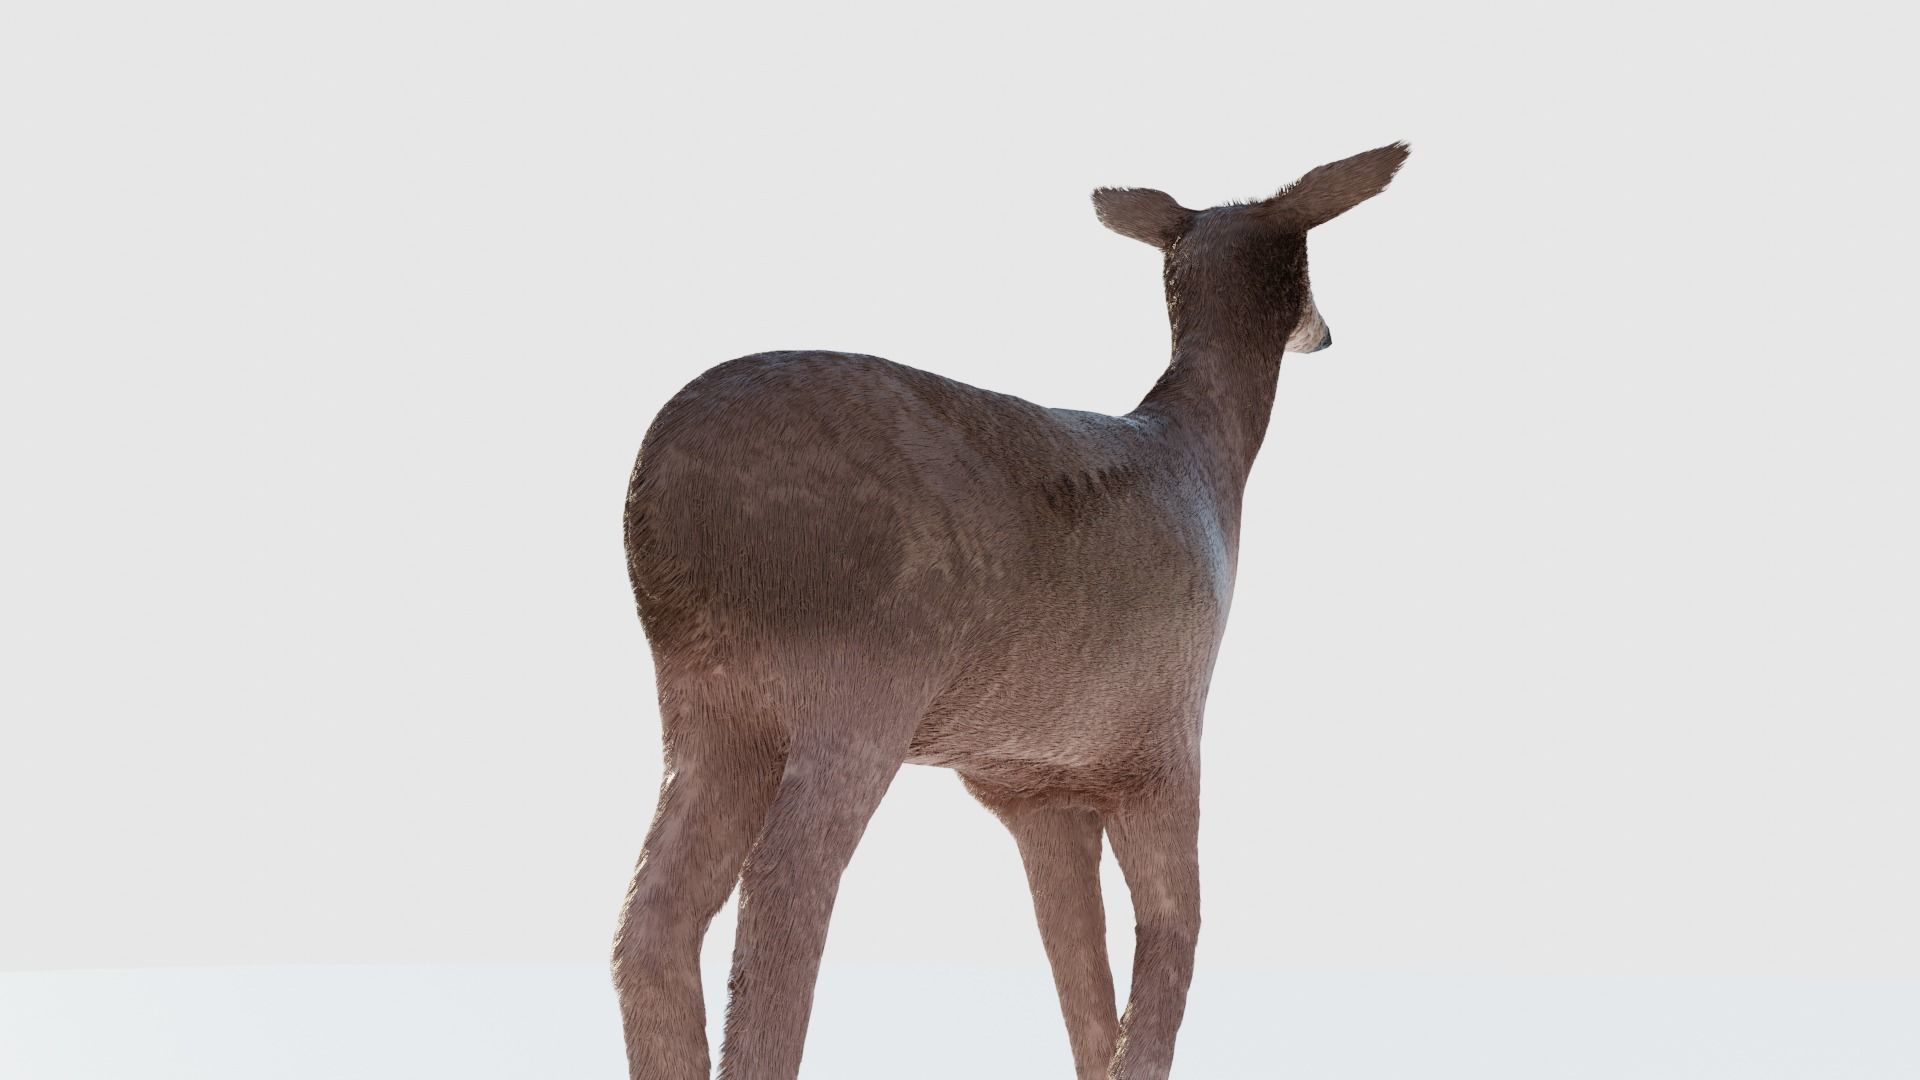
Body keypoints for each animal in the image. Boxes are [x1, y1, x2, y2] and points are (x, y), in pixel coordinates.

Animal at [610, 142, 1409, 1080]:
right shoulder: (1165, 740)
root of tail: (664, 491)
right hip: (856, 688)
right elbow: (1171, 938)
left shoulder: (1036, 786)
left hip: (710, 698)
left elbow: (1085, 983)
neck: (1203, 461)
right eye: (1306, 253)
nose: (1326, 330)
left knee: (653, 912)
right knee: (783, 888)